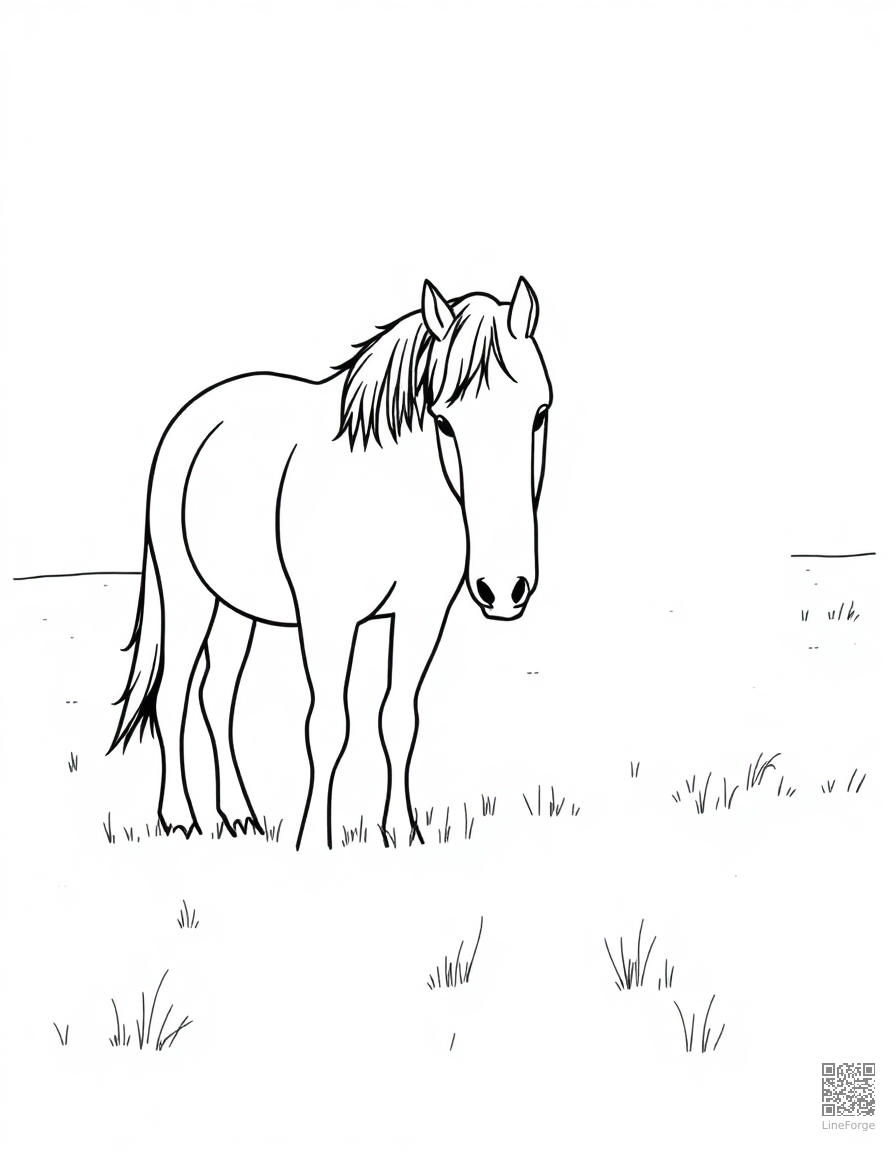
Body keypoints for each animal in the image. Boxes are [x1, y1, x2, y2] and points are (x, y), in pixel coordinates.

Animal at [108, 278, 553, 849]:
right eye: (444, 422)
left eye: (539, 413)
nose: (503, 588)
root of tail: (195, 415)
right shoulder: (327, 621)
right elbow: (326, 727)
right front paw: (313, 841)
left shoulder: (423, 615)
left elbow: (398, 718)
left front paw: (400, 831)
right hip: (188, 592)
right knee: (173, 697)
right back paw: (181, 818)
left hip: (235, 608)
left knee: (217, 699)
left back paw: (239, 816)